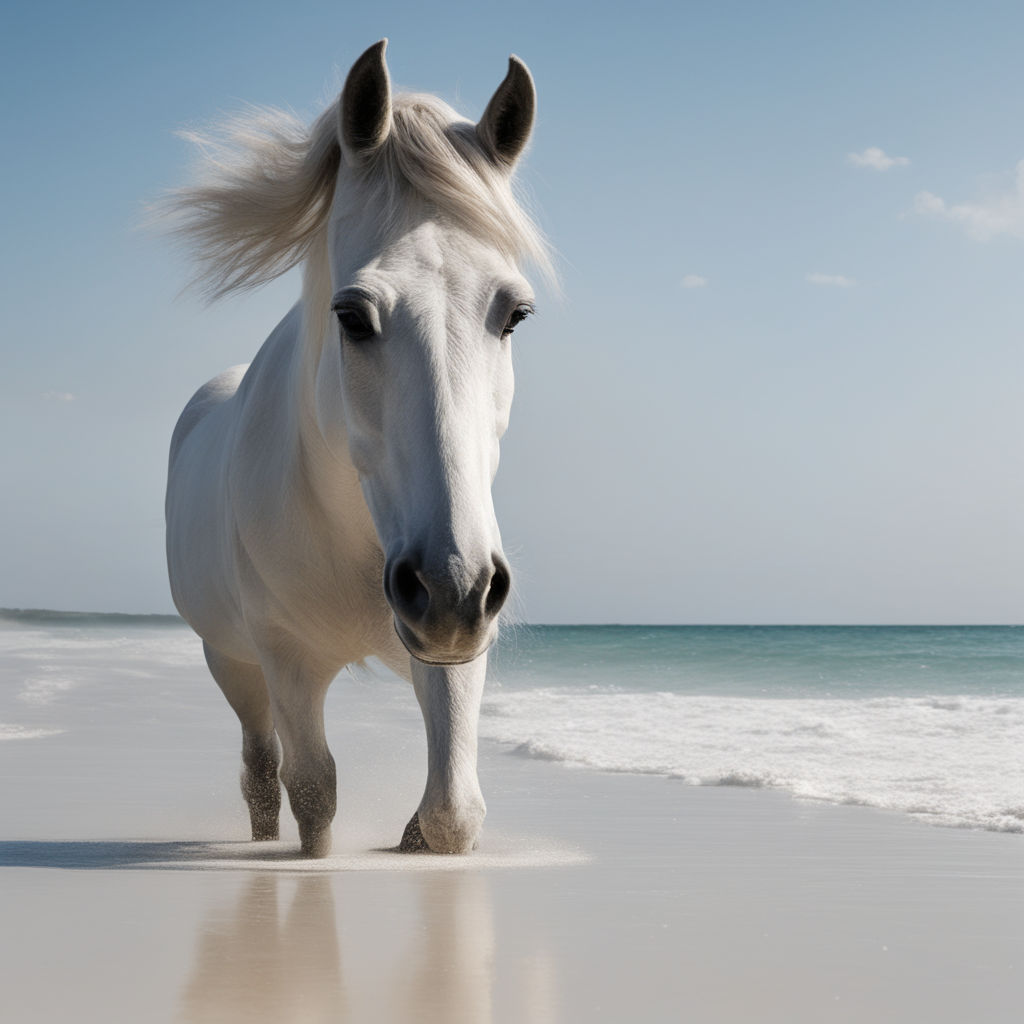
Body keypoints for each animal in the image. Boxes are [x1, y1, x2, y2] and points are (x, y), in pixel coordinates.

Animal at [162, 39, 552, 856]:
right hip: (232, 660)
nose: (452, 584)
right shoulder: (287, 660)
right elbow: (313, 794)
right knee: (260, 767)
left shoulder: (452, 648)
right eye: (352, 316)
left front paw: (413, 839)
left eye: (515, 315)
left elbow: (452, 808)